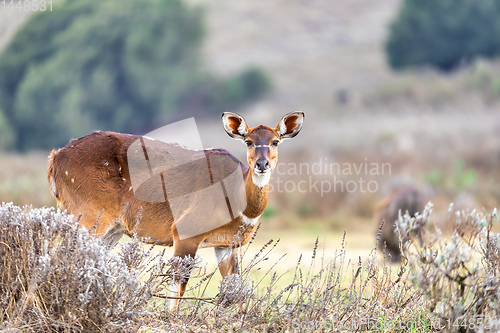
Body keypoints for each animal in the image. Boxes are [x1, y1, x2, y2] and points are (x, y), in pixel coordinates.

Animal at [47, 112, 304, 308]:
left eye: (275, 141)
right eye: (248, 141)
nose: (262, 164)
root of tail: (55, 159)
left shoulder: (226, 245)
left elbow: (235, 287)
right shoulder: (184, 234)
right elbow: (178, 287)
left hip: (111, 229)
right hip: (89, 217)